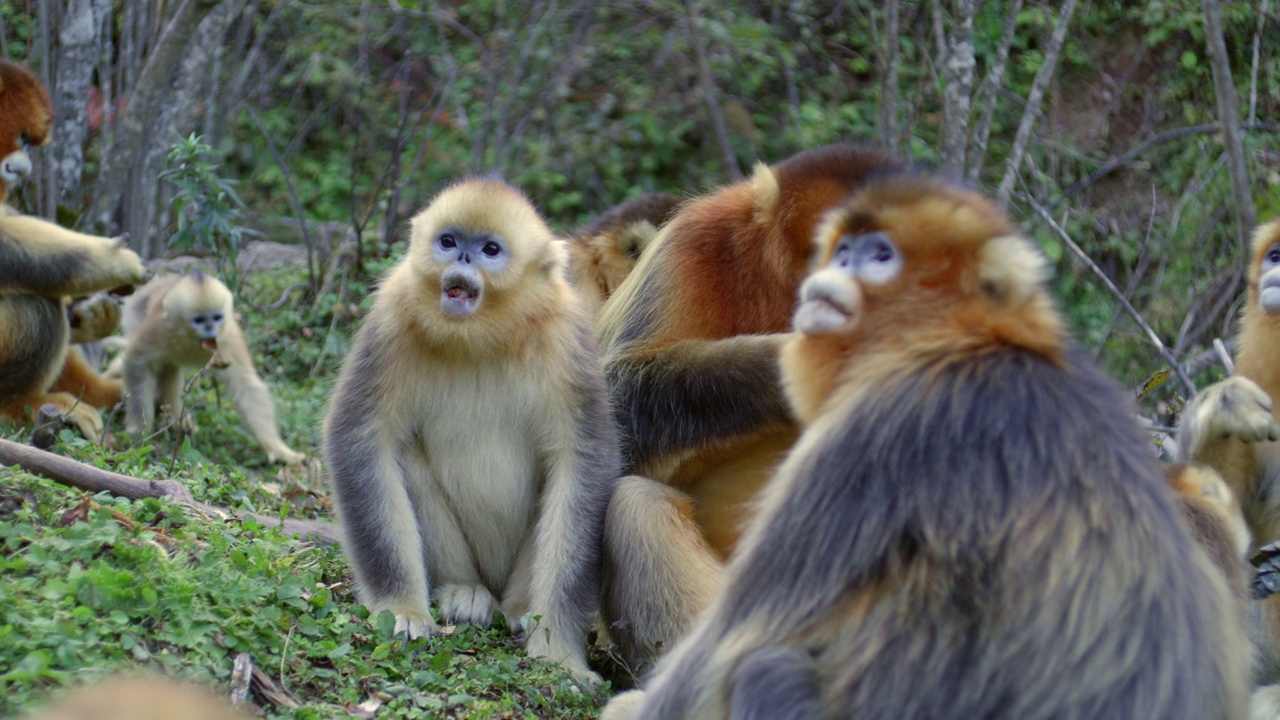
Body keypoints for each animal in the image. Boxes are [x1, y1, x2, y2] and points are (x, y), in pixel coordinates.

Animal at [109, 270, 304, 466]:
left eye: (216, 318)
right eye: (200, 320)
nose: (210, 330)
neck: (193, 342)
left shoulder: (227, 338)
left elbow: (246, 385)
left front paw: (277, 448)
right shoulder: (157, 329)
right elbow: (136, 363)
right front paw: (138, 430)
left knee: (169, 369)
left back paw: (177, 422)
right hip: (135, 313)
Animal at [322, 176, 616, 681]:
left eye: (490, 250)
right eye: (448, 241)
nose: (461, 258)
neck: (480, 338)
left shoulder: (566, 335)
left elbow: (584, 462)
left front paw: (560, 655)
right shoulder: (392, 314)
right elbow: (361, 438)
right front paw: (402, 609)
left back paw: (519, 608)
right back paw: (462, 592)